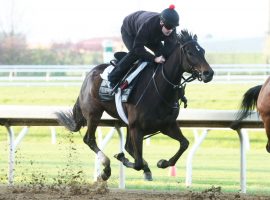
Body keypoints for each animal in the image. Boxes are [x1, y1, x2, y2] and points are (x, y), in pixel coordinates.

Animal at [56, 29, 214, 181]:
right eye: (190, 52)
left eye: (203, 51)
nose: (209, 73)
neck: (158, 89)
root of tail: (89, 75)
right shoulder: (136, 127)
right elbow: (137, 162)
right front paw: (123, 159)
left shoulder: (166, 125)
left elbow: (184, 144)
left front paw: (162, 163)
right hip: (94, 114)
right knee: (89, 139)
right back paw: (106, 170)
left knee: (127, 147)